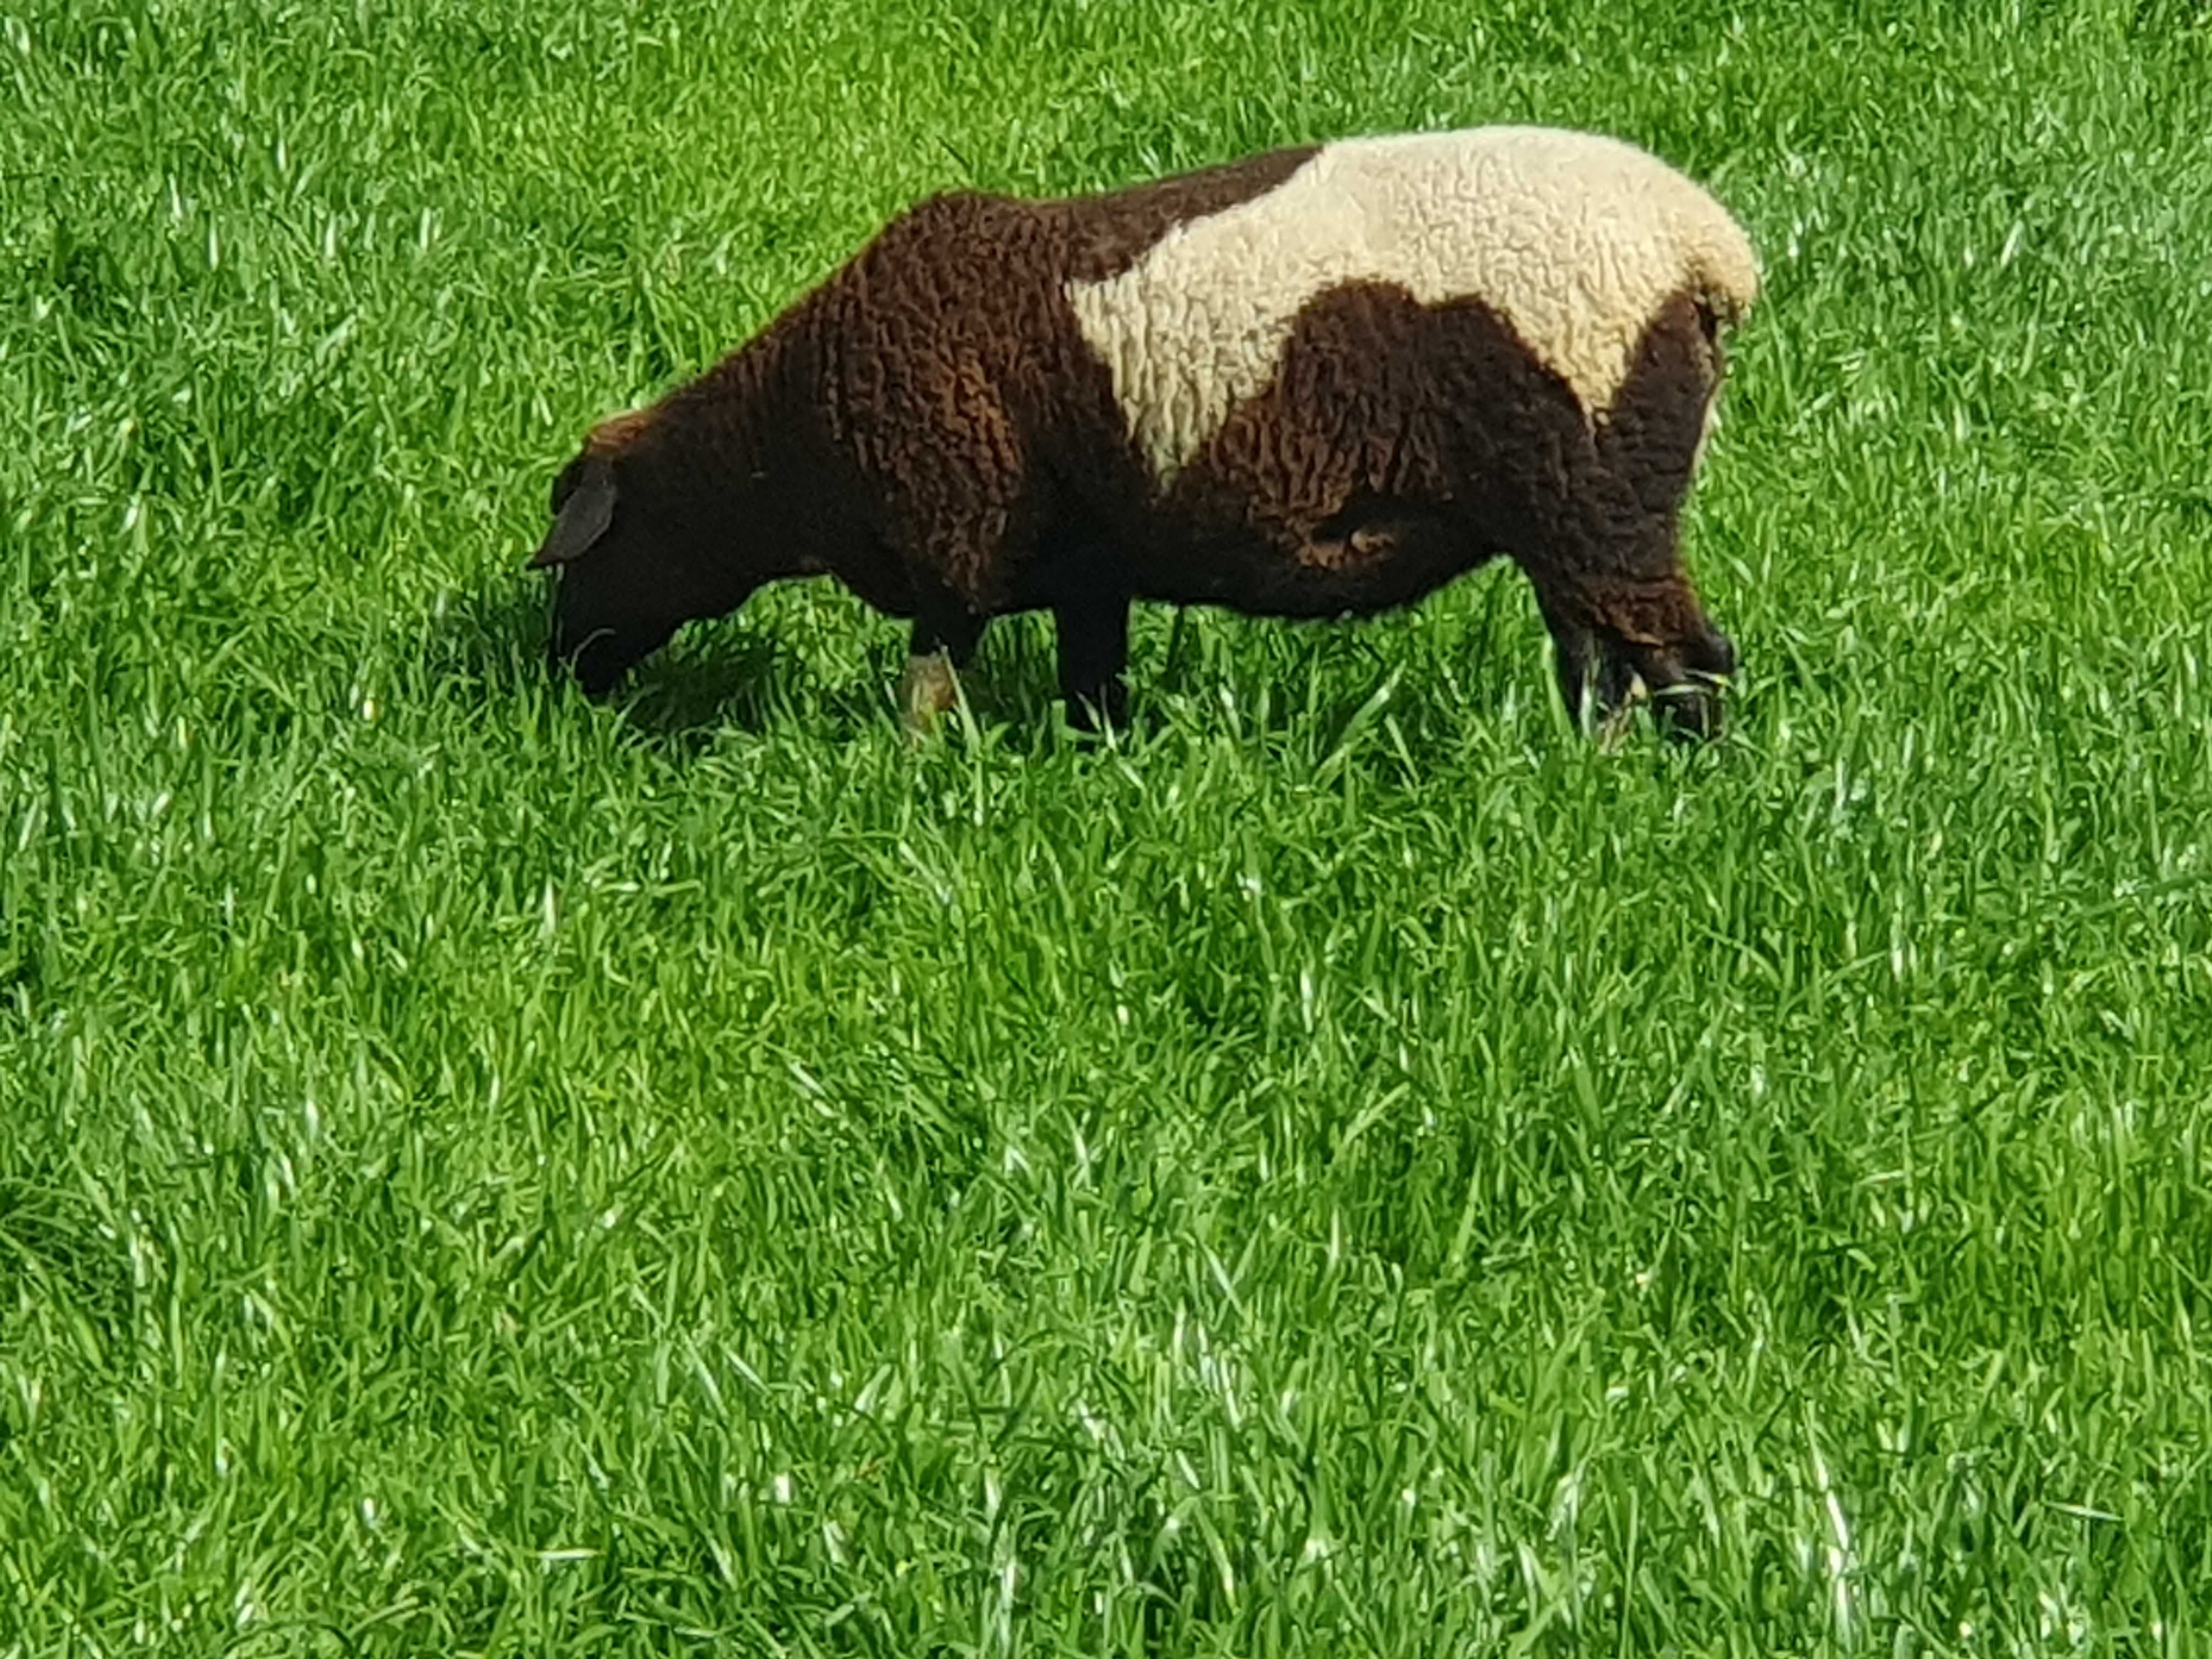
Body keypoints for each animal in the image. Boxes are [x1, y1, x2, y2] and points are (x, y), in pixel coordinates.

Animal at [526, 133, 1752, 743]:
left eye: (586, 546)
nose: (559, 675)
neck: (787, 450)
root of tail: (1711, 255)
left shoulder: (953, 538)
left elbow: (931, 683)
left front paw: (912, 782)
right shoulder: (1086, 569)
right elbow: (1092, 690)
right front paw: (1097, 770)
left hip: (1600, 490)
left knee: (1690, 665)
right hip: (1574, 519)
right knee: (1603, 665)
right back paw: (1586, 773)